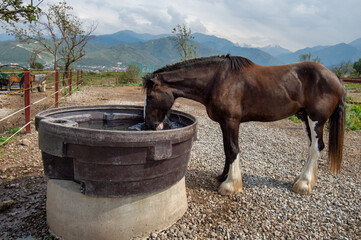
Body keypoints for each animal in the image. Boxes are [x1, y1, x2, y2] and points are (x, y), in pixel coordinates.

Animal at [143, 55, 346, 196]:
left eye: (150, 96)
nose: (149, 125)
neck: (218, 80)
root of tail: (336, 79)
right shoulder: (224, 123)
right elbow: (227, 149)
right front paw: (223, 177)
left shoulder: (231, 121)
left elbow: (233, 149)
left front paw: (230, 185)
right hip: (304, 117)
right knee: (313, 147)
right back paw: (304, 180)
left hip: (316, 120)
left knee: (317, 147)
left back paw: (303, 184)